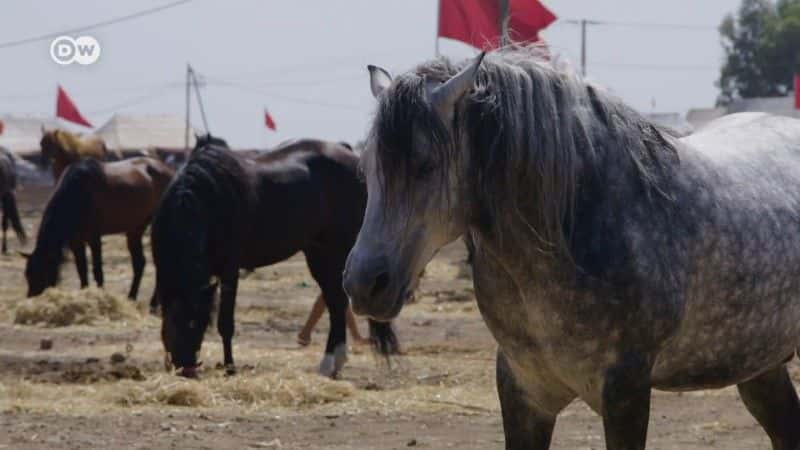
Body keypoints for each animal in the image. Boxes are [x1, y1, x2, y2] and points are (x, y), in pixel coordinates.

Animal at [24, 156, 174, 300]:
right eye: (27, 274)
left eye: (42, 273)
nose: (31, 297)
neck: (77, 194)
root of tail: (169, 171)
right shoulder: (75, 241)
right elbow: (81, 269)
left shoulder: (94, 238)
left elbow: (97, 270)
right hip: (135, 229)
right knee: (139, 263)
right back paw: (132, 296)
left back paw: (153, 303)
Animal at [149, 134, 396, 380]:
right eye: (172, 320)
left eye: (198, 322)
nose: (186, 367)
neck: (205, 200)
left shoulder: (230, 270)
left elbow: (225, 323)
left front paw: (230, 366)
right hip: (319, 253)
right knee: (335, 300)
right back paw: (332, 362)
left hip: (339, 250)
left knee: (337, 301)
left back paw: (331, 361)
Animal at [346, 47, 800, 448]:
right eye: (366, 167)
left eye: (426, 165)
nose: (363, 284)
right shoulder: (523, 391)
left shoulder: (625, 392)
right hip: (760, 365)